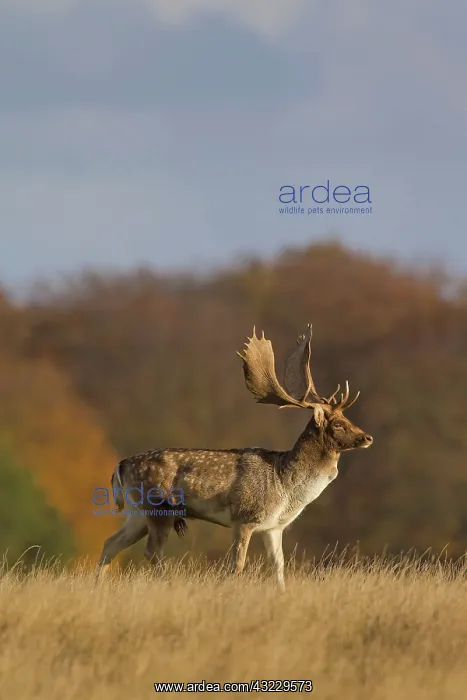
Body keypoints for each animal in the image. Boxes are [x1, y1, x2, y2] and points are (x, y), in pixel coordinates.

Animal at [95, 324, 373, 590]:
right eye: (338, 424)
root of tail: (120, 465)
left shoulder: (274, 527)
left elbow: (279, 566)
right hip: (158, 508)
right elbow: (237, 565)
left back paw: (98, 586)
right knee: (151, 551)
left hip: (137, 512)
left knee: (110, 543)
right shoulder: (244, 518)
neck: (285, 486)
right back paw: (169, 583)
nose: (367, 437)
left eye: (347, 418)